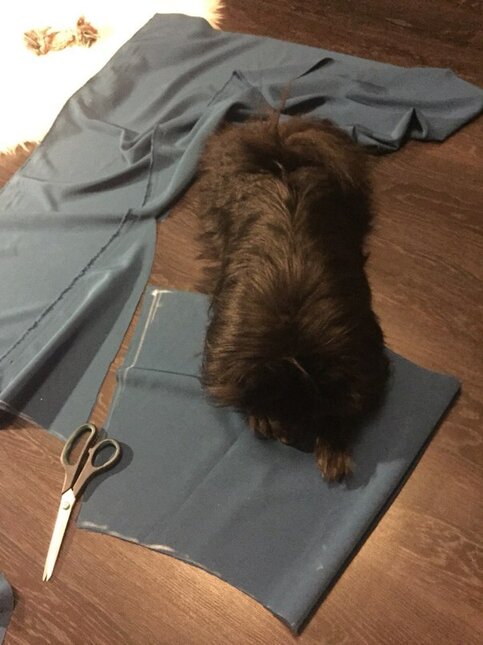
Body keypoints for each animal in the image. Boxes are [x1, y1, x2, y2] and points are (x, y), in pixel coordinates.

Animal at [193, 114, 389, 480]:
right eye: (274, 405)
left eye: (310, 412)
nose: (287, 437)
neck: (292, 340)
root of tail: (282, 158)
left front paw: (333, 452)